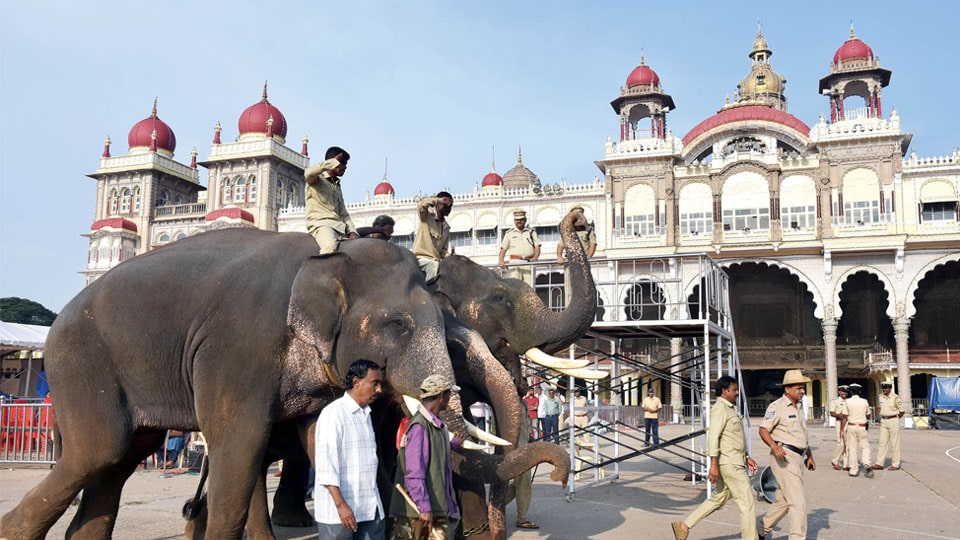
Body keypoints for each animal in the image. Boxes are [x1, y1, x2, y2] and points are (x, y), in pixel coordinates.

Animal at [0, 229, 492, 540]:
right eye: (397, 324)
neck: (328, 256)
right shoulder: (238, 346)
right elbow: (240, 442)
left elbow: (314, 439)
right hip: (81, 365)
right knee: (98, 451)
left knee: (120, 461)